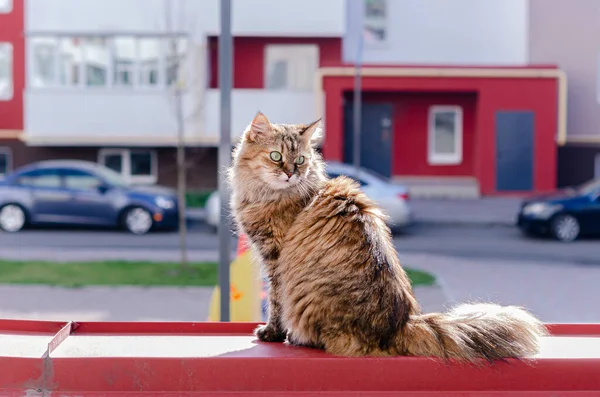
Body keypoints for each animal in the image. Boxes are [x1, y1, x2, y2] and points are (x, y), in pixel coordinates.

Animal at [230, 112, 548, 362]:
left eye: (300, 160)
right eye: (276, 157)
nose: (290, 174)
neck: (266, 196)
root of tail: (398, 326)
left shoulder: (275, 259)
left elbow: (276, 304)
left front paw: (272, 333)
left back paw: (298, 338)